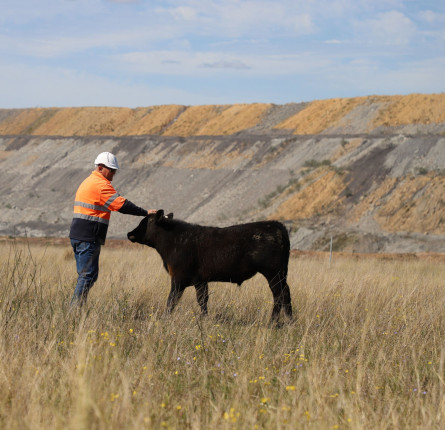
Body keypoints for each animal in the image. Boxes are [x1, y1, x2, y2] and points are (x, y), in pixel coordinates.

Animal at [126, 210, 292, 320]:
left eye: (148, 221)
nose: (129, 233)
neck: (174, 240)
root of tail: (276, 226)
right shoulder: (200, 280)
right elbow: (202, 300)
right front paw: (203, 319)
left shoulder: (178, 278)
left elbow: (171, 300)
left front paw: (165, 318)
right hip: (281, 273)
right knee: (286, 293)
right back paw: (289, 321)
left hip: (273, 273)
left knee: (279, 295)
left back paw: (273, 322)